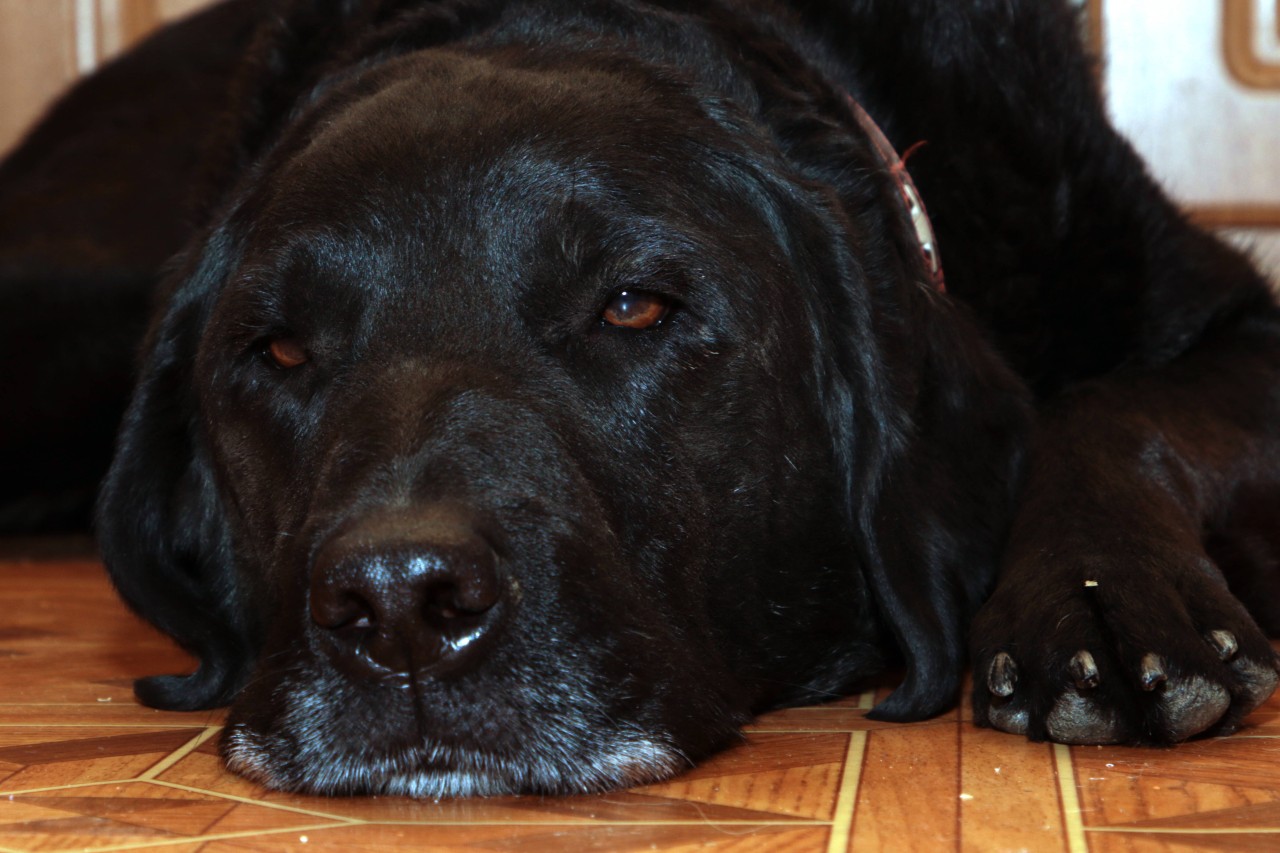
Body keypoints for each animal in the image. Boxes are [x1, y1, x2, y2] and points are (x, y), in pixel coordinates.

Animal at [2, 1, 1280, 799]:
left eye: (632, 306)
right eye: (274, 351)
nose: (399, 603)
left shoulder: (1233, 319)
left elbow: (1112, 415)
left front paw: (1099, 599)